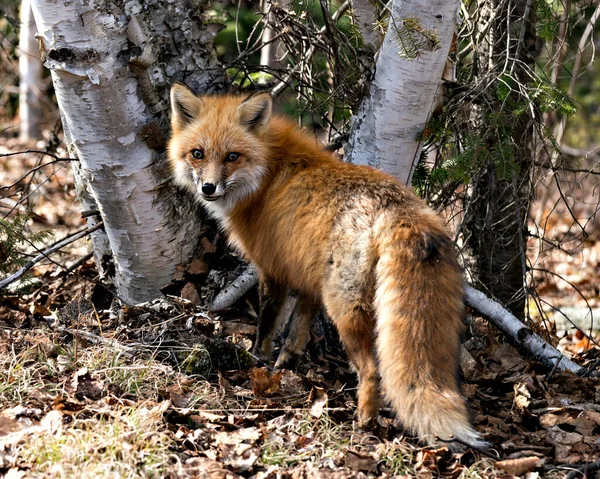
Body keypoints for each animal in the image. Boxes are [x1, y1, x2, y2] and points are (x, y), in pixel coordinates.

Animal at [168, 84, 482, 448]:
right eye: (198, 153)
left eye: (232, 156)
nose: (208, 188)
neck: (267, 175)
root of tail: (398, 207)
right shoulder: (308, 276)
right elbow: (297, 331)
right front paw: (287, 364)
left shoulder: (272, 269)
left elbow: (267, 324)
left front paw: (259, 362)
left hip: (344, 308)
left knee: (373, 370)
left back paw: (364, 423)